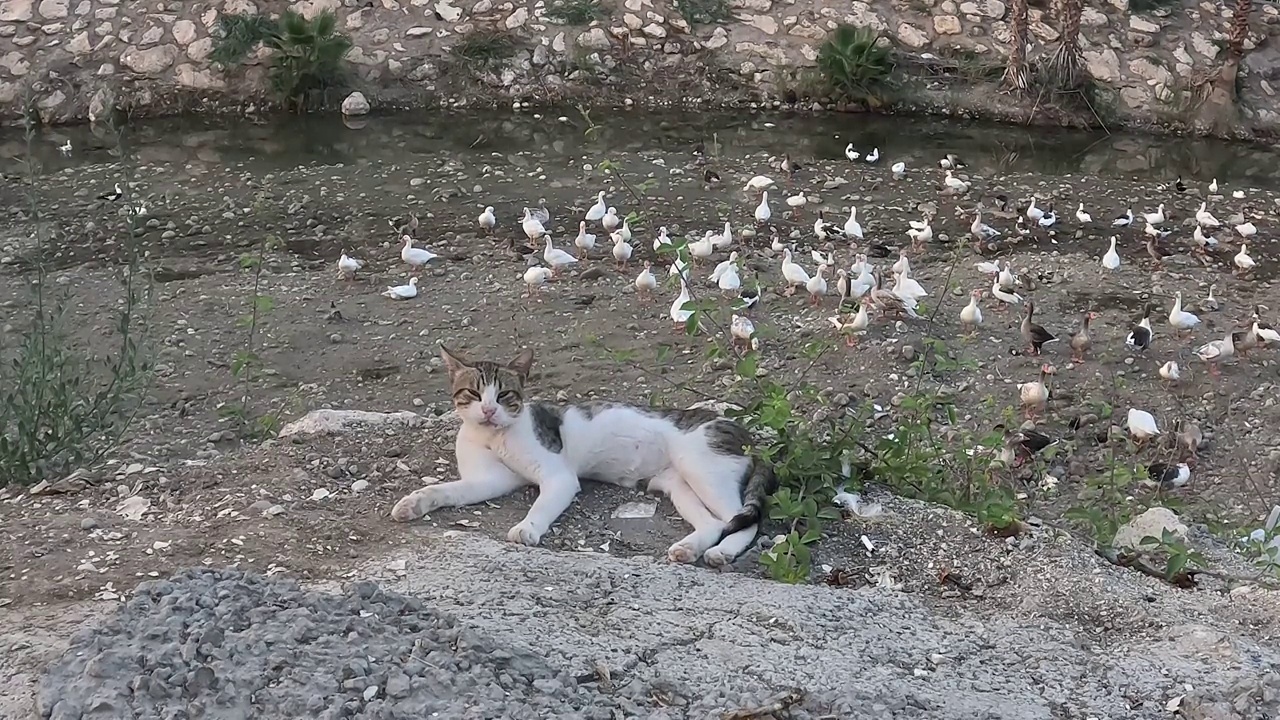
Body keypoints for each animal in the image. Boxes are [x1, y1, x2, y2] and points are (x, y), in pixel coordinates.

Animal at [389, 345, 773, 563]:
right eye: (473, 393)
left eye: (504, 396)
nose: (488, 411)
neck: (492, 437)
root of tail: (748, 435)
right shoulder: (489, 479)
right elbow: (444, 489)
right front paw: (414, 502)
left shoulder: (558, 477)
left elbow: (540, 505)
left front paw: (527, 528)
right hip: (679, 484)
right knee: (714, 523)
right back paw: (689, 548)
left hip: (701, 469)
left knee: (744, 520)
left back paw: (722, 552)